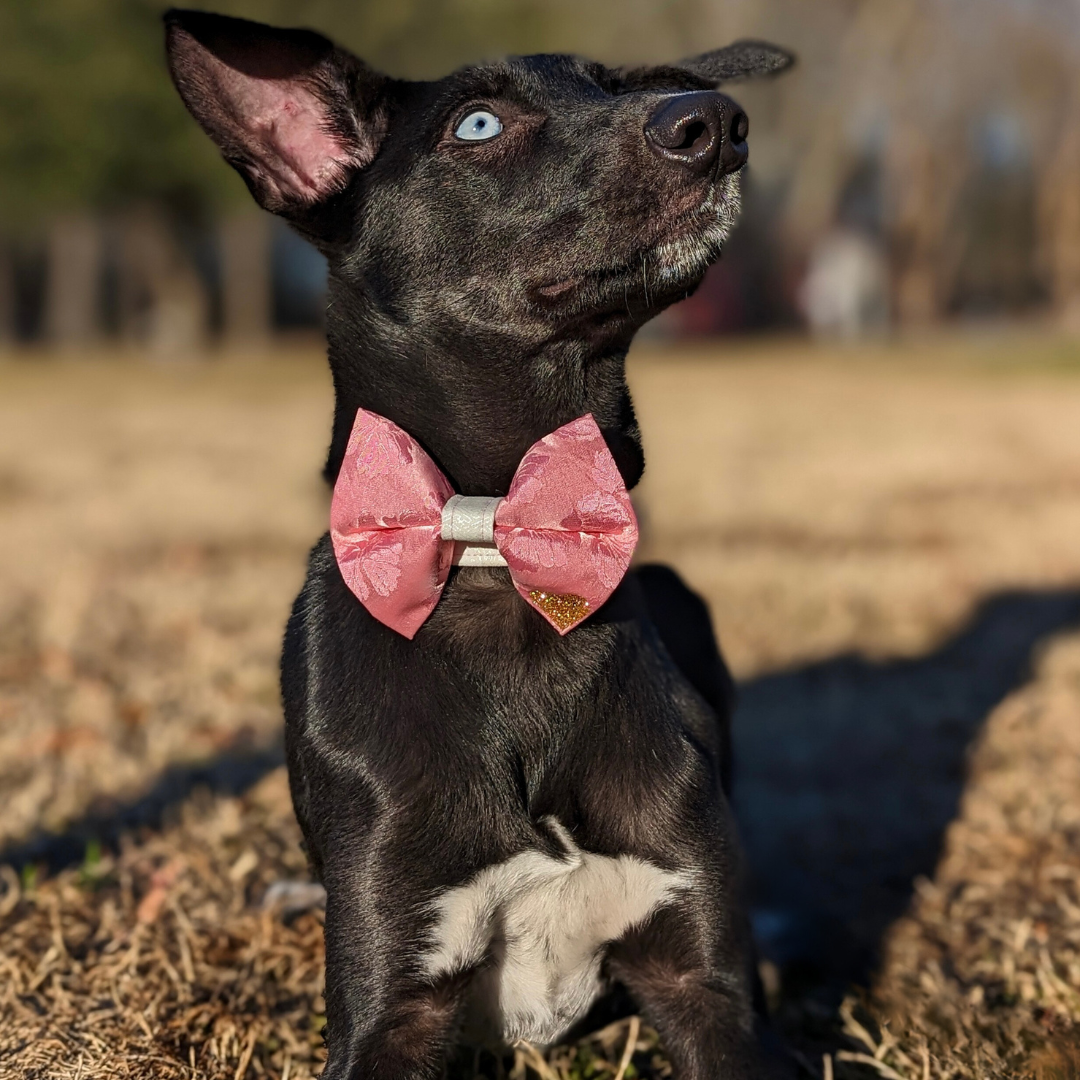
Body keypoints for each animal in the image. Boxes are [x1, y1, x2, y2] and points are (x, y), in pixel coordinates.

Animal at [168, 12, 794, 1075]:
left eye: (616, 84)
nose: (713, 121)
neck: (497, 546)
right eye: (477, 123)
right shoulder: (394, 996)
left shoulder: (703, 978)